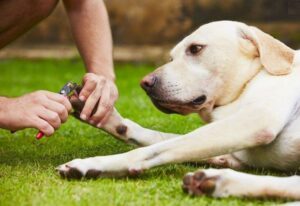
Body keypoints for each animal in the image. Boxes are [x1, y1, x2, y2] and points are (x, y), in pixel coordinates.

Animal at [57, 20, 300, 200]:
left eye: (196, 48)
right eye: (171, 57)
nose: (145, 83)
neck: (248, 80)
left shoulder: (256, 121)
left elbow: (150, 150)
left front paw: (93, 163)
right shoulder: (233, 152)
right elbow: (154, 138)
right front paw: (107, 116)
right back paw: (215, 182)